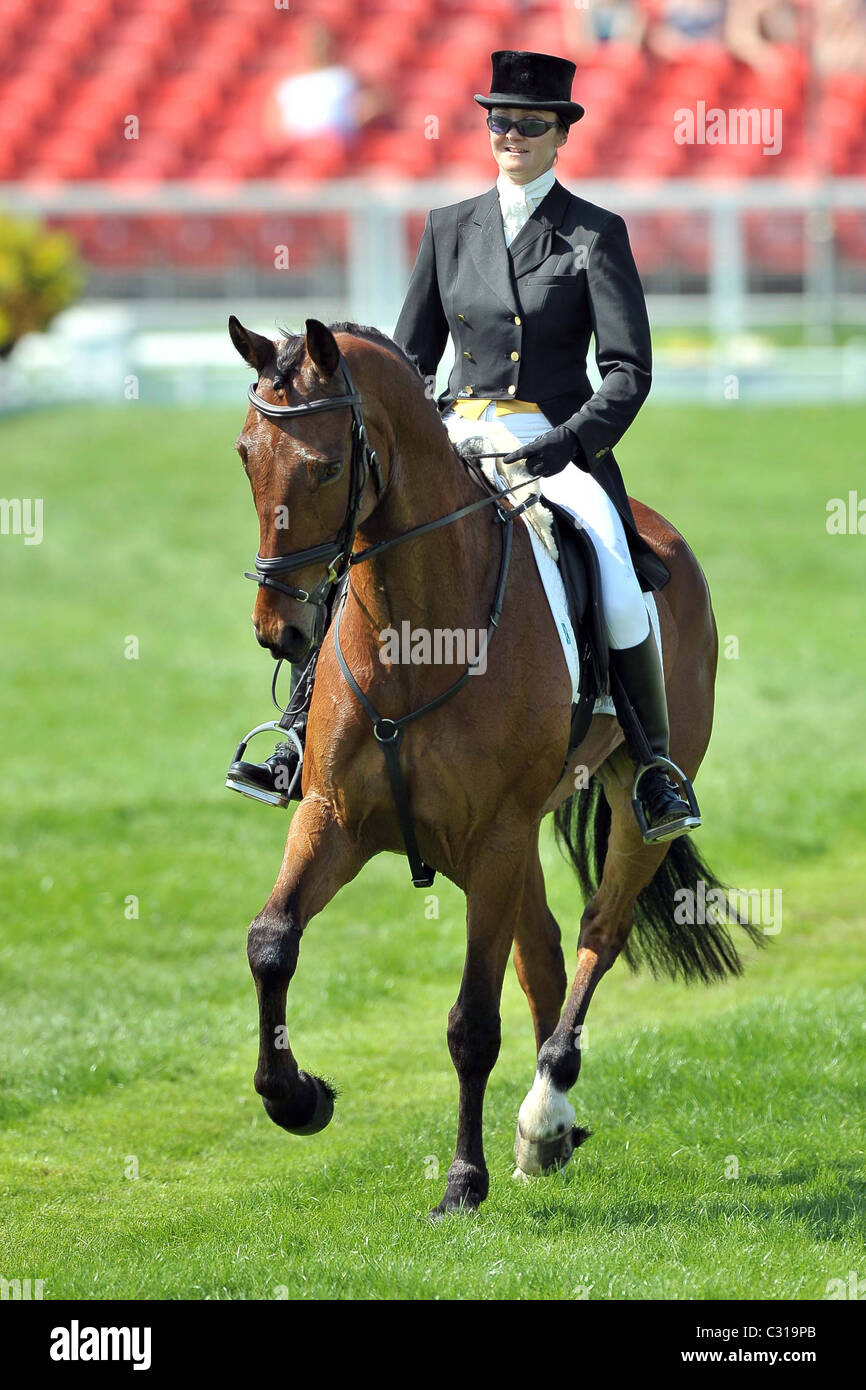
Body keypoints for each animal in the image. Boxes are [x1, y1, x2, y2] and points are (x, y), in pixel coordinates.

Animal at [228, 314, 761, 1218]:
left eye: (327, 466)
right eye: (244, 455)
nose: (280, 631)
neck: (417, 636)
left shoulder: (493, 840)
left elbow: (471, 1023)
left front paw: (461, 1183)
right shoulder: (335, 819)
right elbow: (272, 943)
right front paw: (297, 1099)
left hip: (609, 814)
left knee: (597, 933)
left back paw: (546, 1111)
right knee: (541, 951)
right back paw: (554, 1131)